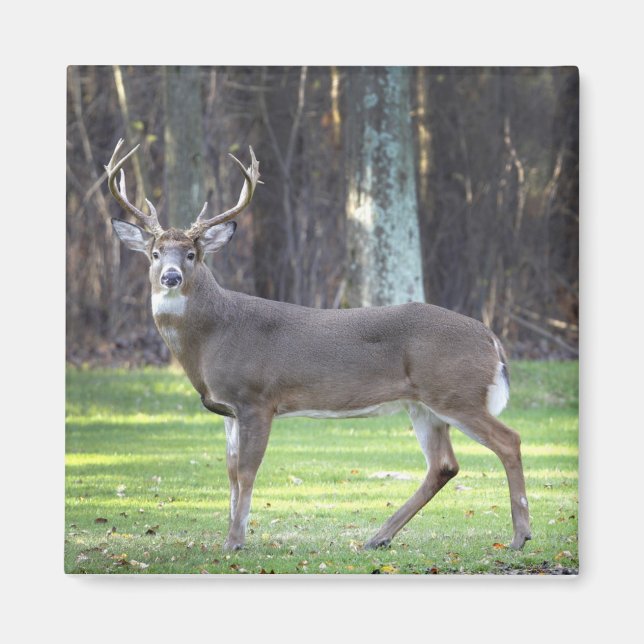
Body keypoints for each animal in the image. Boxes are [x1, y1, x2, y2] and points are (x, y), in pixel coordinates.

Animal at [105, 138, 531, 552]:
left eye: (192, 254)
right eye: (154, 254)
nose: (171, 277)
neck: (212, 336)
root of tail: (491, 339)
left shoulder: (257, 398)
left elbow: (246, 471)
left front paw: (236, 542)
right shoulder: (227, 409)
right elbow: (229, 473)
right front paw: (228, 536)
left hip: (455, 392)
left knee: (508, 439)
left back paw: (519, 536)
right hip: (424, 405)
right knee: (443, 465)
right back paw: (377, 537)